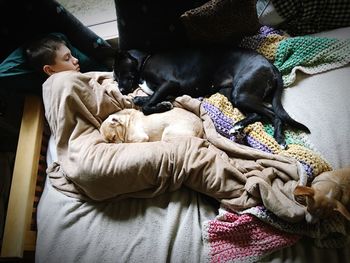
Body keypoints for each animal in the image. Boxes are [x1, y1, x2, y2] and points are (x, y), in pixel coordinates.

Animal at [113, 47, 310, 148]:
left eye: (120, 71)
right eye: (115, 76)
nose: (121, 90)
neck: (145, 61)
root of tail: (271, 65)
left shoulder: (170, 84)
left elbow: (148, 106)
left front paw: (161, 106)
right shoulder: (169, 90)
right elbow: (149, 99)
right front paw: (143, 100)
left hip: (242, 94)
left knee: (273, 115)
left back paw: (279, 138)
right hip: (232, 94)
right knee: (258, 114)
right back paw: (237, 126)